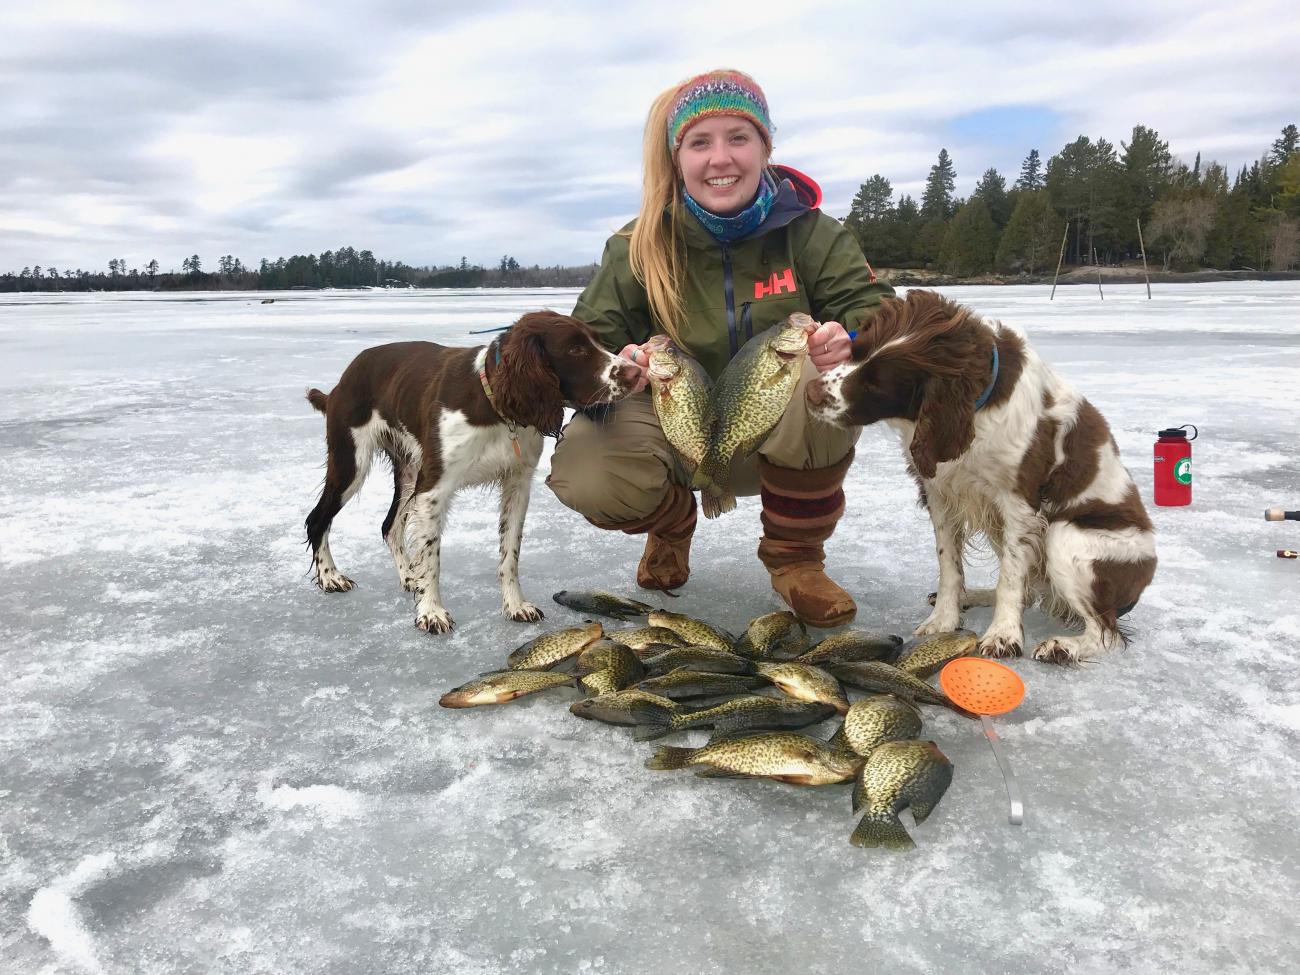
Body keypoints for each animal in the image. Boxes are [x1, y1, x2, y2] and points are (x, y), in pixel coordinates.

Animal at [300, 310, 634, 634]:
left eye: (598, 341)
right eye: (575, 349)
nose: (633, 372)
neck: (495, 404)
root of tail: (343, 379)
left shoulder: (517, 484)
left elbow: (510, 553)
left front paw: (516, 605)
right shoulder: (434, 488)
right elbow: (432, 556)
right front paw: (431, 612)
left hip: (409, 470)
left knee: (389, 526)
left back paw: (408, 576)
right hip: (351, 462)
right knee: (318, 519)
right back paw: (330, 577)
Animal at [811, 289, 1159, 670]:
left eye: (877, 382)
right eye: (854, 351)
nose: (811, 393)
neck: (975, 408)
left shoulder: (1018, 502)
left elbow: (1010, 577)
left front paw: (1003, 635)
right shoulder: (939, 493)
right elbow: (949, 563)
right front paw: (944, 620)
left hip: (1067, 537)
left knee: (1106, 632)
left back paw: (1065, 647)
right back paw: (975, 595)